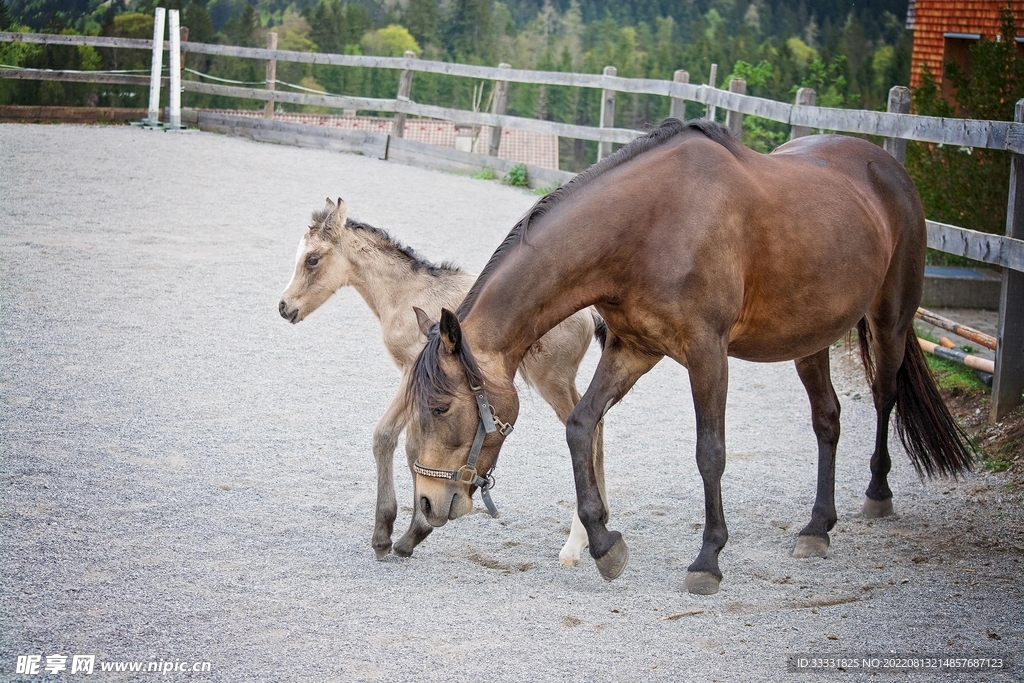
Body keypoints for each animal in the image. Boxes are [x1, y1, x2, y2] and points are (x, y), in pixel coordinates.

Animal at [278, 198, 606, 564]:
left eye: (312, 259)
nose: (284, 306)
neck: (407, 293)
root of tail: (591, 312)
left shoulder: (413, 371)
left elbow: (387, 437)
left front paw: (388, 535)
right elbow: (415, 447)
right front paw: (413, 531)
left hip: (552, 380)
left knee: (590, 429)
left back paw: (575, 543)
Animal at [407, 118, 974, 595]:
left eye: (440, 408)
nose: (427, 503)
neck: (647, 225)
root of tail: (888, 167)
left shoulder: (707, 354)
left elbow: (710, 453)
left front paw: (708, 559)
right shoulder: (633, 348)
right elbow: (581, 426)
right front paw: (604, 545)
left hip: (889, 320)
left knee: (884, 396)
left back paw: (877, 493)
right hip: (810, 340)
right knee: (827, 420)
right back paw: (817, 526)